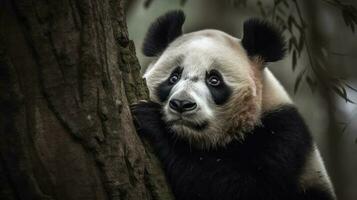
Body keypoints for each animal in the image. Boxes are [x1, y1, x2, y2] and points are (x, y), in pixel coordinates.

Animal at [130, 10, 334, 200]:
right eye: (173, 77)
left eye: (214, 80)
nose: (181, 104)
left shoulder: (284, 136)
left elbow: (245, 188)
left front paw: (154, 122)